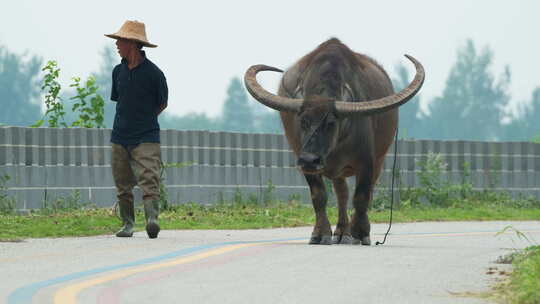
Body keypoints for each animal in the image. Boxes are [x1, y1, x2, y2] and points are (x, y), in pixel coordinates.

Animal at [245, 39, 426, 246]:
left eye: (330, 123)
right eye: (303, 121)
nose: (309, 159)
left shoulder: (367, 162)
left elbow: (362, 196)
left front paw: (361, 233)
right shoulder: (307, 164)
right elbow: (319, 197)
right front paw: (320, 233)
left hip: (378, 159)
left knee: (361, 193)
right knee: (342, 193)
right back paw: (341, 232)